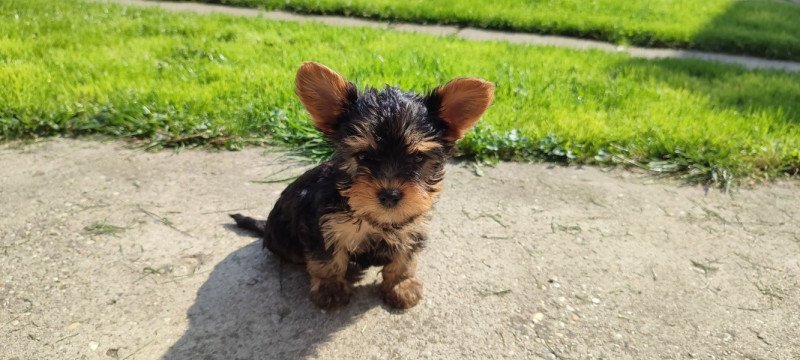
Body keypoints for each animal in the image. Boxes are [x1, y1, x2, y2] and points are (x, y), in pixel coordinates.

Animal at [231, 62, 494, 310]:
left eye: (418, 158)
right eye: (364, 156)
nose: (390, 194)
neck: (374, 219)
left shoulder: (412, 229)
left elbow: (405, 260)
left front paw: (401, 285)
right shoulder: (321, 227)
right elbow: (327, 261)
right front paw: (330, 289)